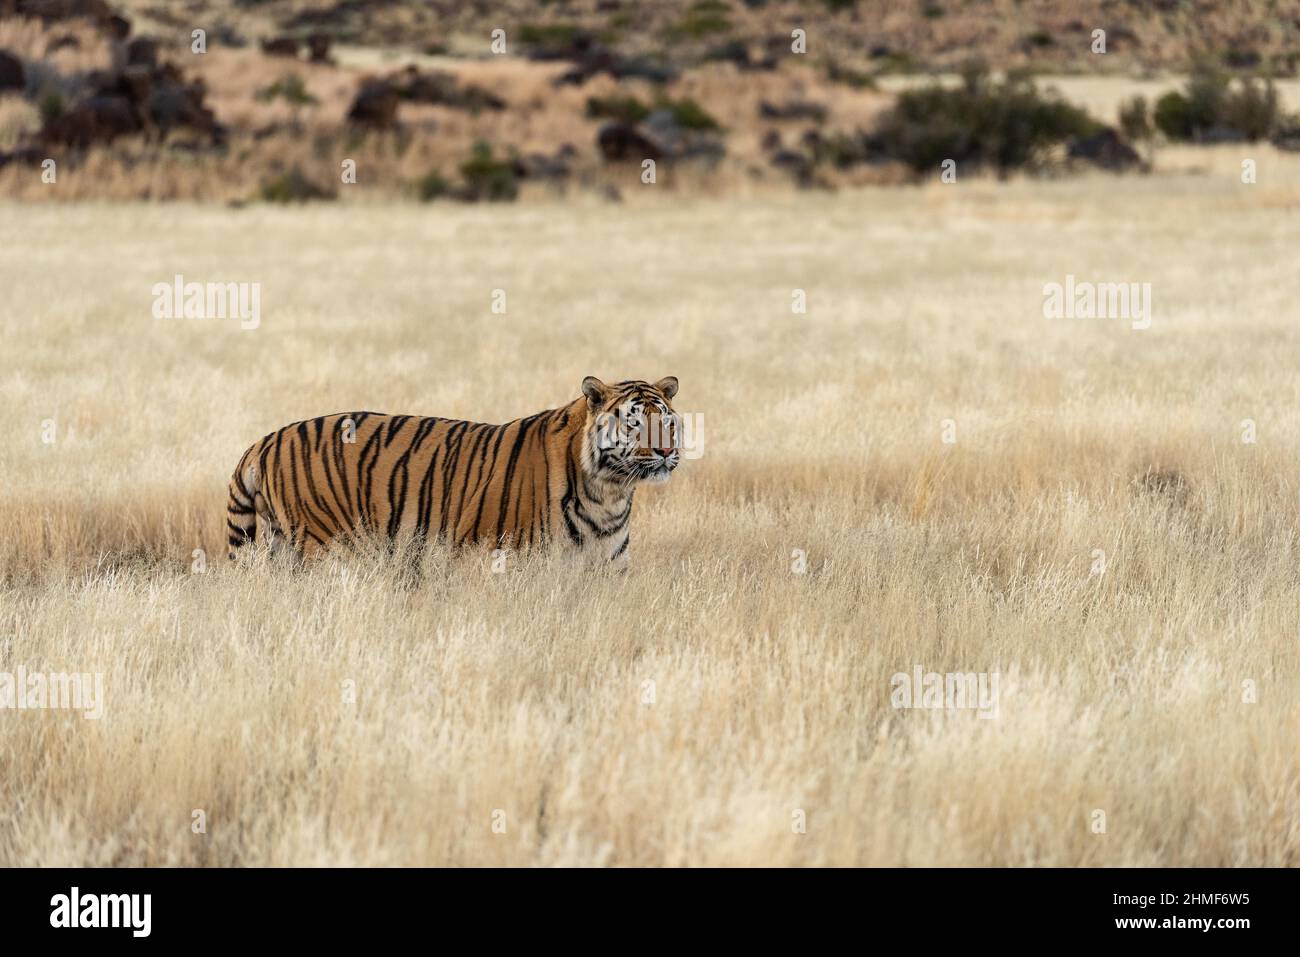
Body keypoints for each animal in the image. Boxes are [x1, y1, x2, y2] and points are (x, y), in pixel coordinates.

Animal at [225, 376, 681, 567]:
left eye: (667, 421)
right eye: (634, 423)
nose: (665, 450)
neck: (610, 493)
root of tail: (263, 440)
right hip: (323, 545)